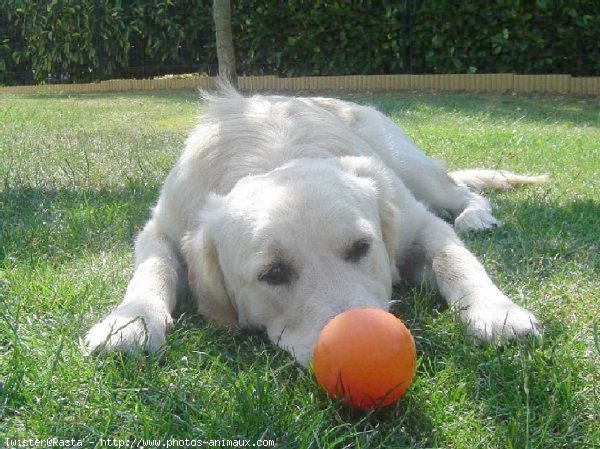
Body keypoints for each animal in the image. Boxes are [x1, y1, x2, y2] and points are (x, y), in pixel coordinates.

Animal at [84, 86, 544, 366]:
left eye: (361, 247)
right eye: (273, 273)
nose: (366, 349)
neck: (273, 157)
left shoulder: (419, 223)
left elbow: (455, 260)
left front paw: (495, 312)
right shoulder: (162, 226)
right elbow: (153, 267)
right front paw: (128, 321)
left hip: (408, 165)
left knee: (460, 192)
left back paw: (475, 216)